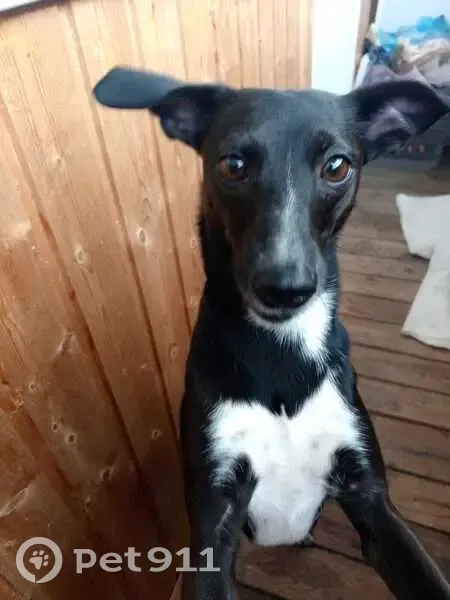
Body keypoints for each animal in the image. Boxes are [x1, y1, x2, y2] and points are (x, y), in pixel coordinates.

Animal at [93, 68, 450, 600]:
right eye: (233, 164)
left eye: (337, 166)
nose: (286, 289)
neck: (284, 355)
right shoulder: (214, 518)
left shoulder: (372, 499)